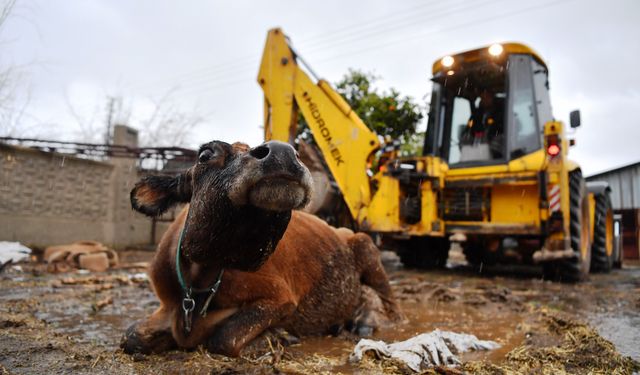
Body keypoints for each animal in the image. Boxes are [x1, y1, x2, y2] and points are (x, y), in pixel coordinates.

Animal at [122, 140, 402, 356]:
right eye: (205, 155)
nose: (283, 151)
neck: (199, 280)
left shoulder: (281, 297)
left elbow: (224, 338)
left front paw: (278, 335)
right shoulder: (166, 306)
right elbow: (131, 337)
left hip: (366, 246)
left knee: (390, 303)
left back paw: (369, 322)